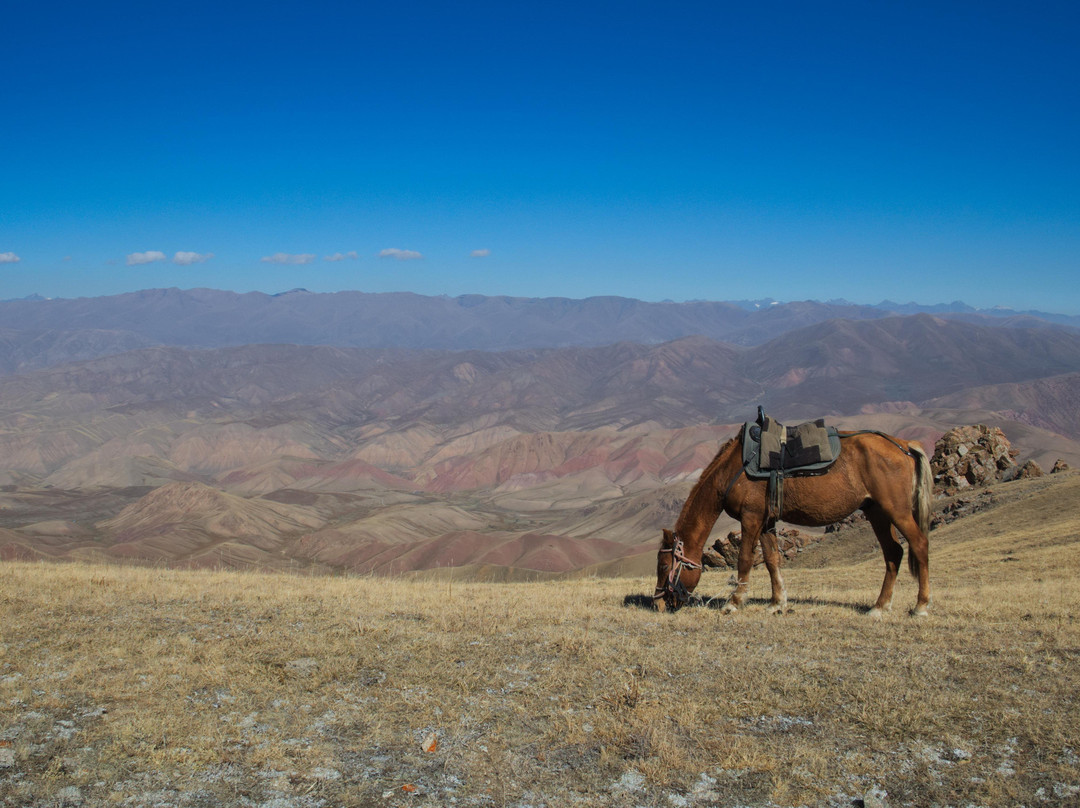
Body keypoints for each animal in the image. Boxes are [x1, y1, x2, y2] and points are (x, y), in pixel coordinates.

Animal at [652, 429, 933, 617]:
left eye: (665, 566)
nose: (658, 603)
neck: (734, 469)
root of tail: (904, 445)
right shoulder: (766, 521)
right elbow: (772, 560)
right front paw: (777, 602)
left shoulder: (751, 518)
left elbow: (745, 559)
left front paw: (735, 602)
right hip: (877, 512)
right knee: (893, 553)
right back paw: (879, 606)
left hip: (896, 511)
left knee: (919, 545)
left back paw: (920, 606)